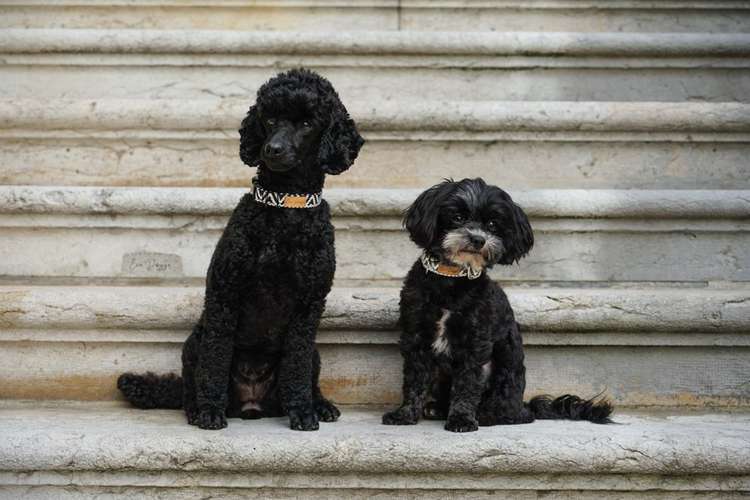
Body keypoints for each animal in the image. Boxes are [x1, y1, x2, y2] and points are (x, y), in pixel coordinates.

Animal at [118, 68, 364, 432]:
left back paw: (320, 404)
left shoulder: (308, 306)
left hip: (315, 351)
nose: (272, 149)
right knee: (192, 382)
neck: (285, 207)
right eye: (270, 117)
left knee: (307, 371)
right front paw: (210, 411)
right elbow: (215, 362)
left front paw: (303, 410)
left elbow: (297, 366)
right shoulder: (225, 294)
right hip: (194, 342)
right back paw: (196, 407)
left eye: (307, 123)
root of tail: (252, 402)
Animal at [384, 178, 612, 432]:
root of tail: (523, 405)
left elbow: (467, 384)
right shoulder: (416, 335)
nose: (478, 239)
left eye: (493, 224)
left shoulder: (475, 341)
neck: (451, 279)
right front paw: (404, 414)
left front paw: (462, 419)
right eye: (458, 217)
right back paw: (437, 409)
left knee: (511, 412)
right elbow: (414, 380)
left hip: (505, 366)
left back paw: (486, 415)